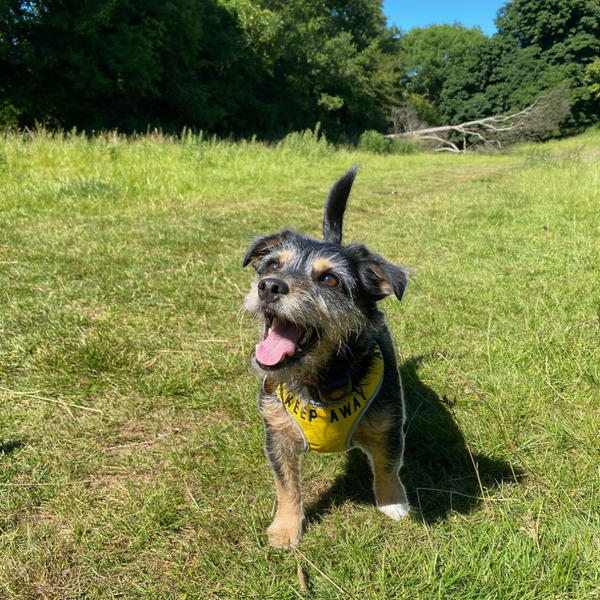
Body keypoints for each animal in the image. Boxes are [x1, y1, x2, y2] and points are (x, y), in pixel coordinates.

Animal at [241, 165, 410, 548]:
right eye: (272, 266)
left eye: (330, 280)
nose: (269, 286)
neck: (321, 379)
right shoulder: (276, 436)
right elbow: (287, 485)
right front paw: (286, 528)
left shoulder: (388, 424)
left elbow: (387, 463)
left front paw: (392, 501)